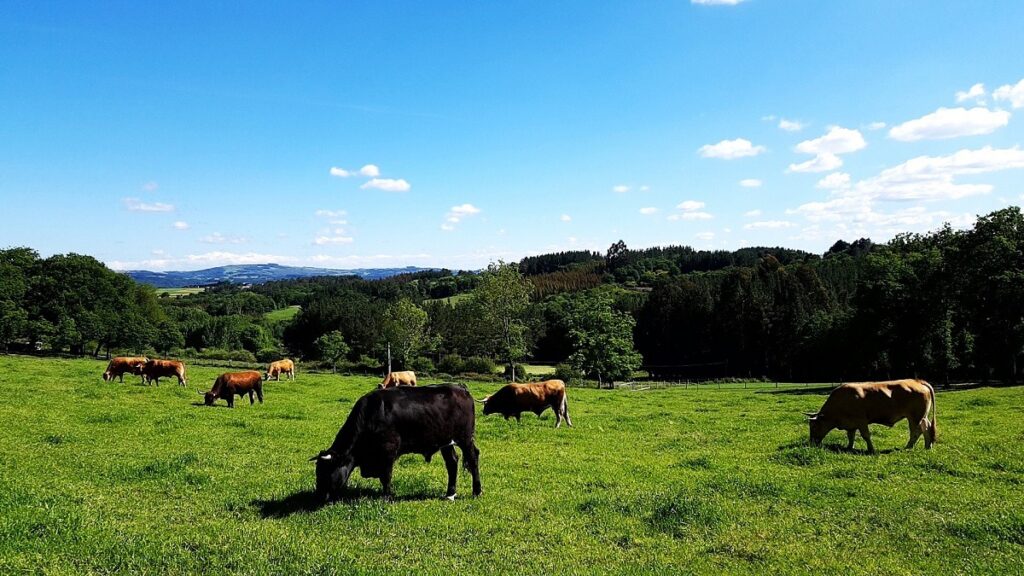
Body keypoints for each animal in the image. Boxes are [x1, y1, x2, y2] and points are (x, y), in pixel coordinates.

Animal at [309, 383, 481, 500]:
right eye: (318, 471)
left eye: (327, 471)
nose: (318, 496)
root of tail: (460, 388)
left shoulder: (388, 450)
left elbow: (386, 476)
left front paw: (387, 497)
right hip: (445, 442)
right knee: (452, 462)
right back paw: (450, 494)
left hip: (465, 438)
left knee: (473, 459)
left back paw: (477, 491)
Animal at [802, 377, 937, 453]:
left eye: (814, 426)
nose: (811, 442)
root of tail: (916, 381)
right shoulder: (851, 424)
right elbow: (850, 436)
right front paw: (849, 448)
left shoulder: (861, 421)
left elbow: (866, 436)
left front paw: (871, 450)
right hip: (922, 417)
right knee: (926, 428)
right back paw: (927, 446)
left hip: (915, 417)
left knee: (917, 431)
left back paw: (908, 447)